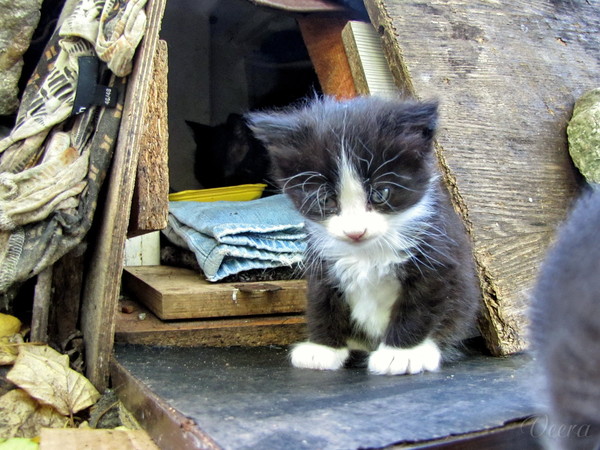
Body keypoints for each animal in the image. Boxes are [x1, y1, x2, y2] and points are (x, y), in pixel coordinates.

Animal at [246, 96, 480, 374]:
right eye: (325, 199)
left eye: (380, 194)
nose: (355, 232)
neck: (366, 253)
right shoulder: (321, 260)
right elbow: (322, 300)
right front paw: (323, 348)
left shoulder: (437, 255)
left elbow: (418, 306)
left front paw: (401, 353)